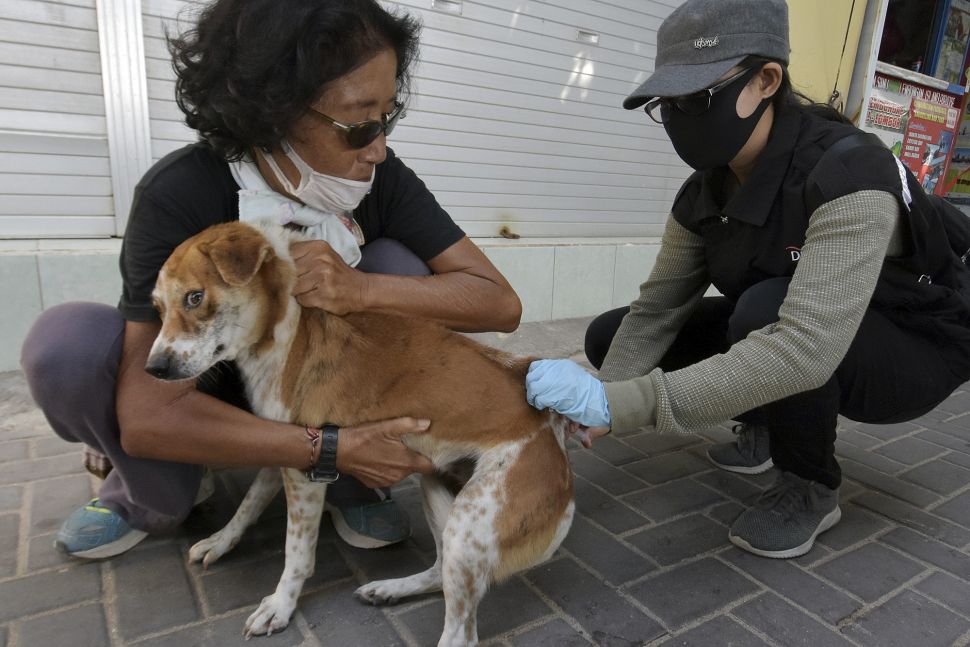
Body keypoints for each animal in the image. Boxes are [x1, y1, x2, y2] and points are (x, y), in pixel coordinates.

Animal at [144, 221, 576, 644]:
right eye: (158, 308)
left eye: (195, 297)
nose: (153, 369)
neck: (285, 329)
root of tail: (551, 433)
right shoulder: (284, 445)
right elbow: (248, 504)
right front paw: (221, 541)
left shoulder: (306, 472)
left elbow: (296, 552)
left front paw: (280, 604)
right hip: (441, 495)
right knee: (439, 572)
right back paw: (390, 589)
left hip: (470, 527)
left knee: (461, 634)